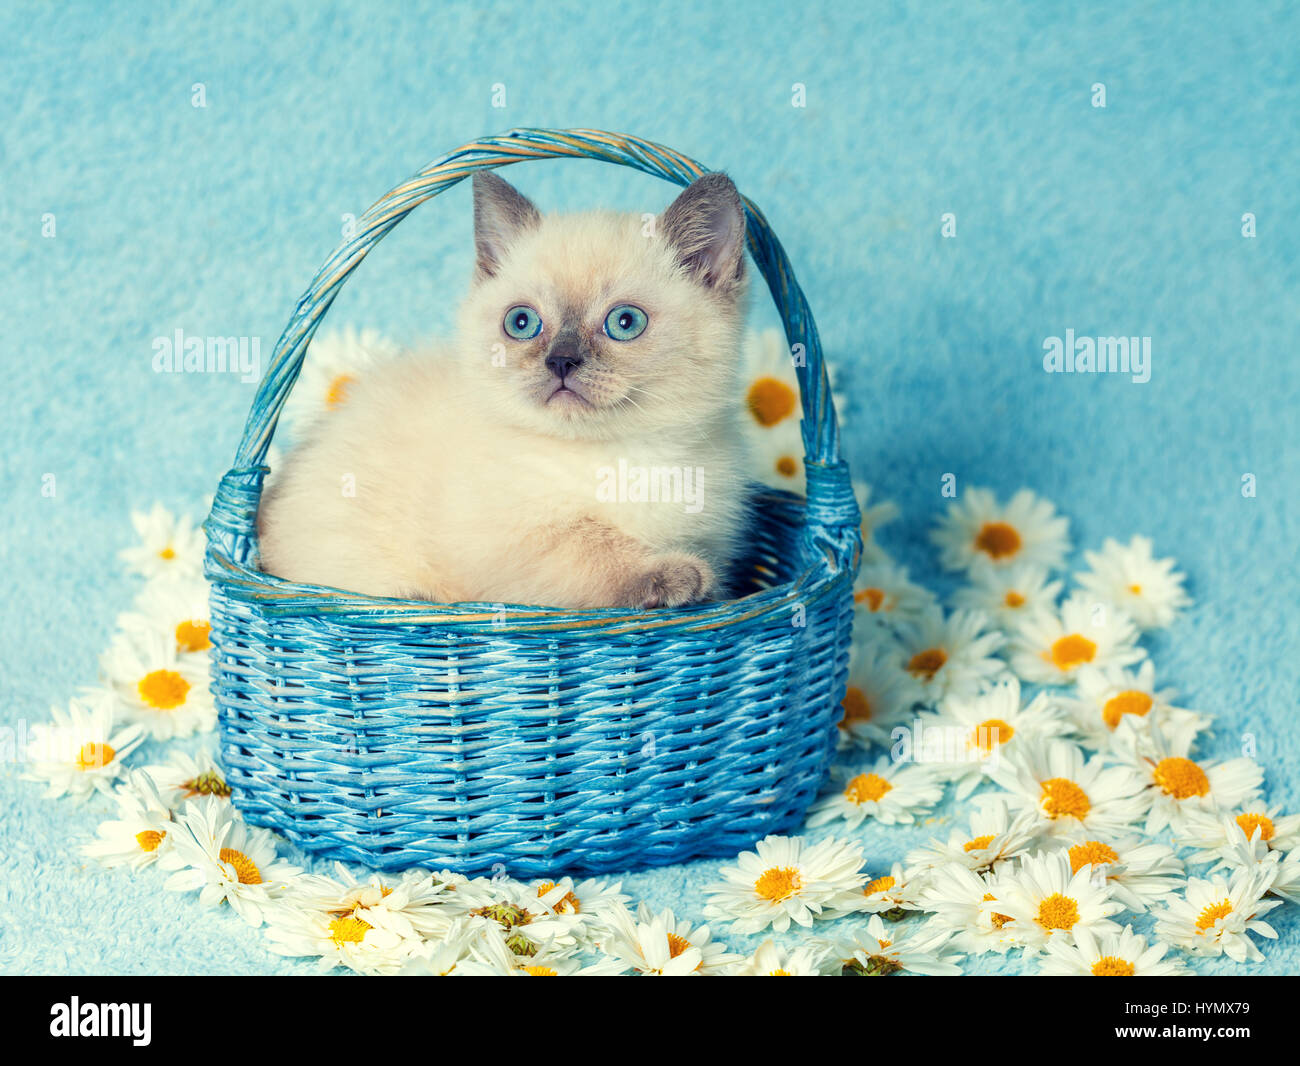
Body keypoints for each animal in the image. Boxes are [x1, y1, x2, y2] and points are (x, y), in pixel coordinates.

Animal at [258, 172, 754, 608]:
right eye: (522, 323)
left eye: (625, 322)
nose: (561, 361)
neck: (621, 453)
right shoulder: (508, 545)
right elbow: (591, 545)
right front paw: (675, 576)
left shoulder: (711, 536)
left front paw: (707, 586)